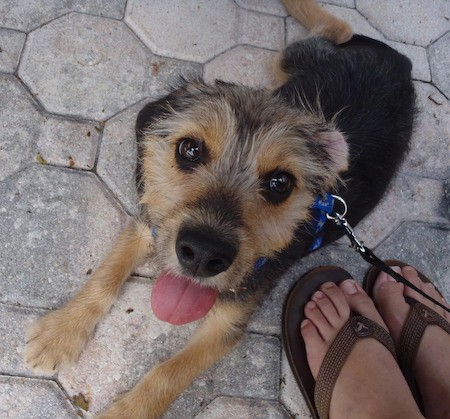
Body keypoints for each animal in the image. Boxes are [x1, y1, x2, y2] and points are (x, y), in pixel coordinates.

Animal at [24, 1, 414, 418]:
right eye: (189, 149)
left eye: (281, 183)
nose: (202, 253)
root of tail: (400, 61)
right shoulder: (151, 223)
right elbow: (105, 276)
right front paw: (60, 333)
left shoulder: (230, 320)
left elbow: (171, 371)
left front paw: (129, 411)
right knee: (338, 28)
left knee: (338, 27)